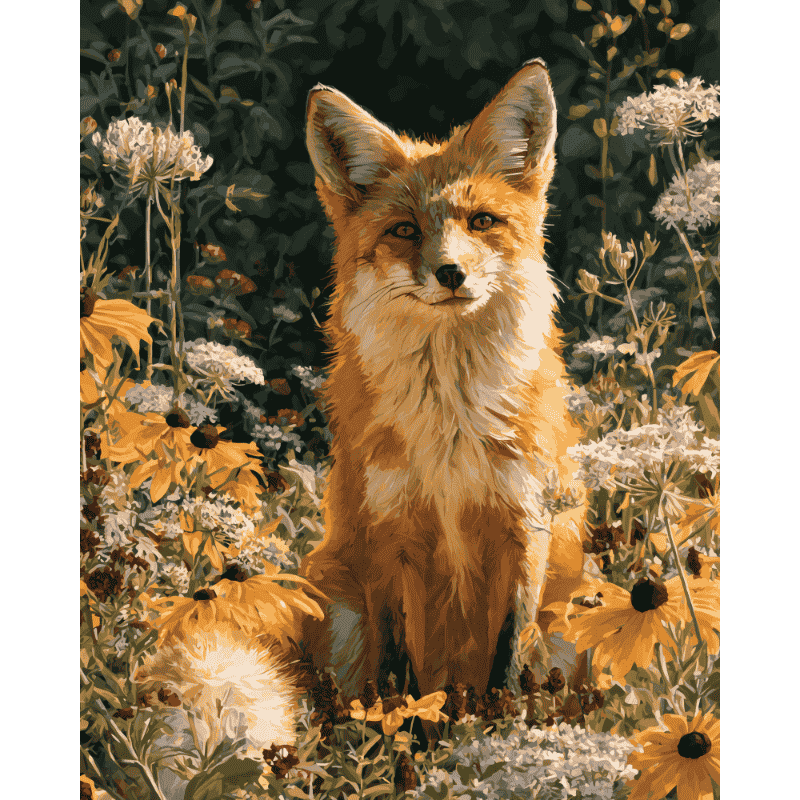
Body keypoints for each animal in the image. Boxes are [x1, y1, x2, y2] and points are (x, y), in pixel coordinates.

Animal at [301, 59, 588, 701]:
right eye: (405, 231)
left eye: (482, 222)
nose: (450, 272)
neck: (450, 425)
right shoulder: (388, 535)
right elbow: (396, 669)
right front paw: (399, 726)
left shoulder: (524, 527)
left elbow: (507, 658)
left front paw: (502, 728)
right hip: (337, 601)